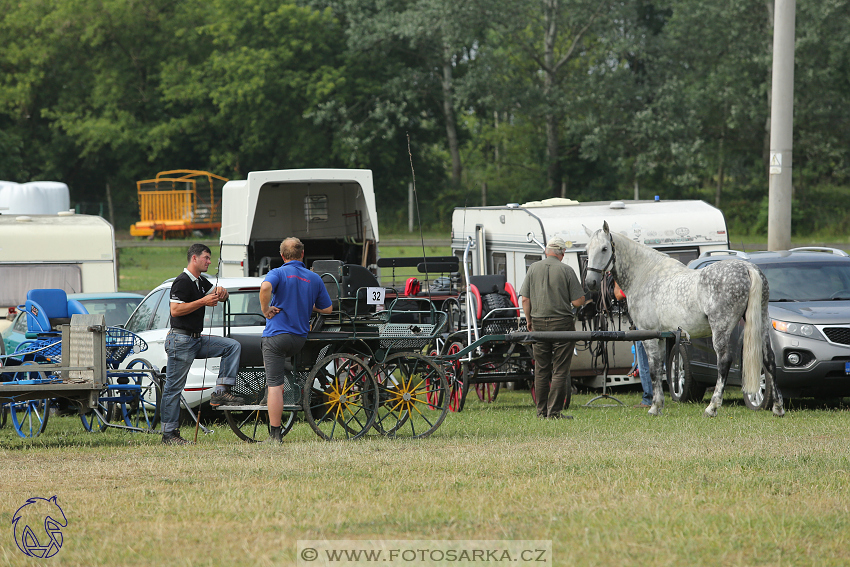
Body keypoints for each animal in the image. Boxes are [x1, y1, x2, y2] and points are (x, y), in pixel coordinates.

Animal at [584, 222, 780, 418]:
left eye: (604, 248)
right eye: (587, 249)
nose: (590, 282)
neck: (645, 275)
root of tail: (748, 269)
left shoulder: (650, 336)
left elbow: (653, 370)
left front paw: (654, 407)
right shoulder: (661, 336)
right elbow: (659, 368)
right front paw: (659, 405)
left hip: (721, 328)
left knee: (724, 362)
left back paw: (712, 407)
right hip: (761, 321)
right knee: (769, 358)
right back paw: (778, 408)